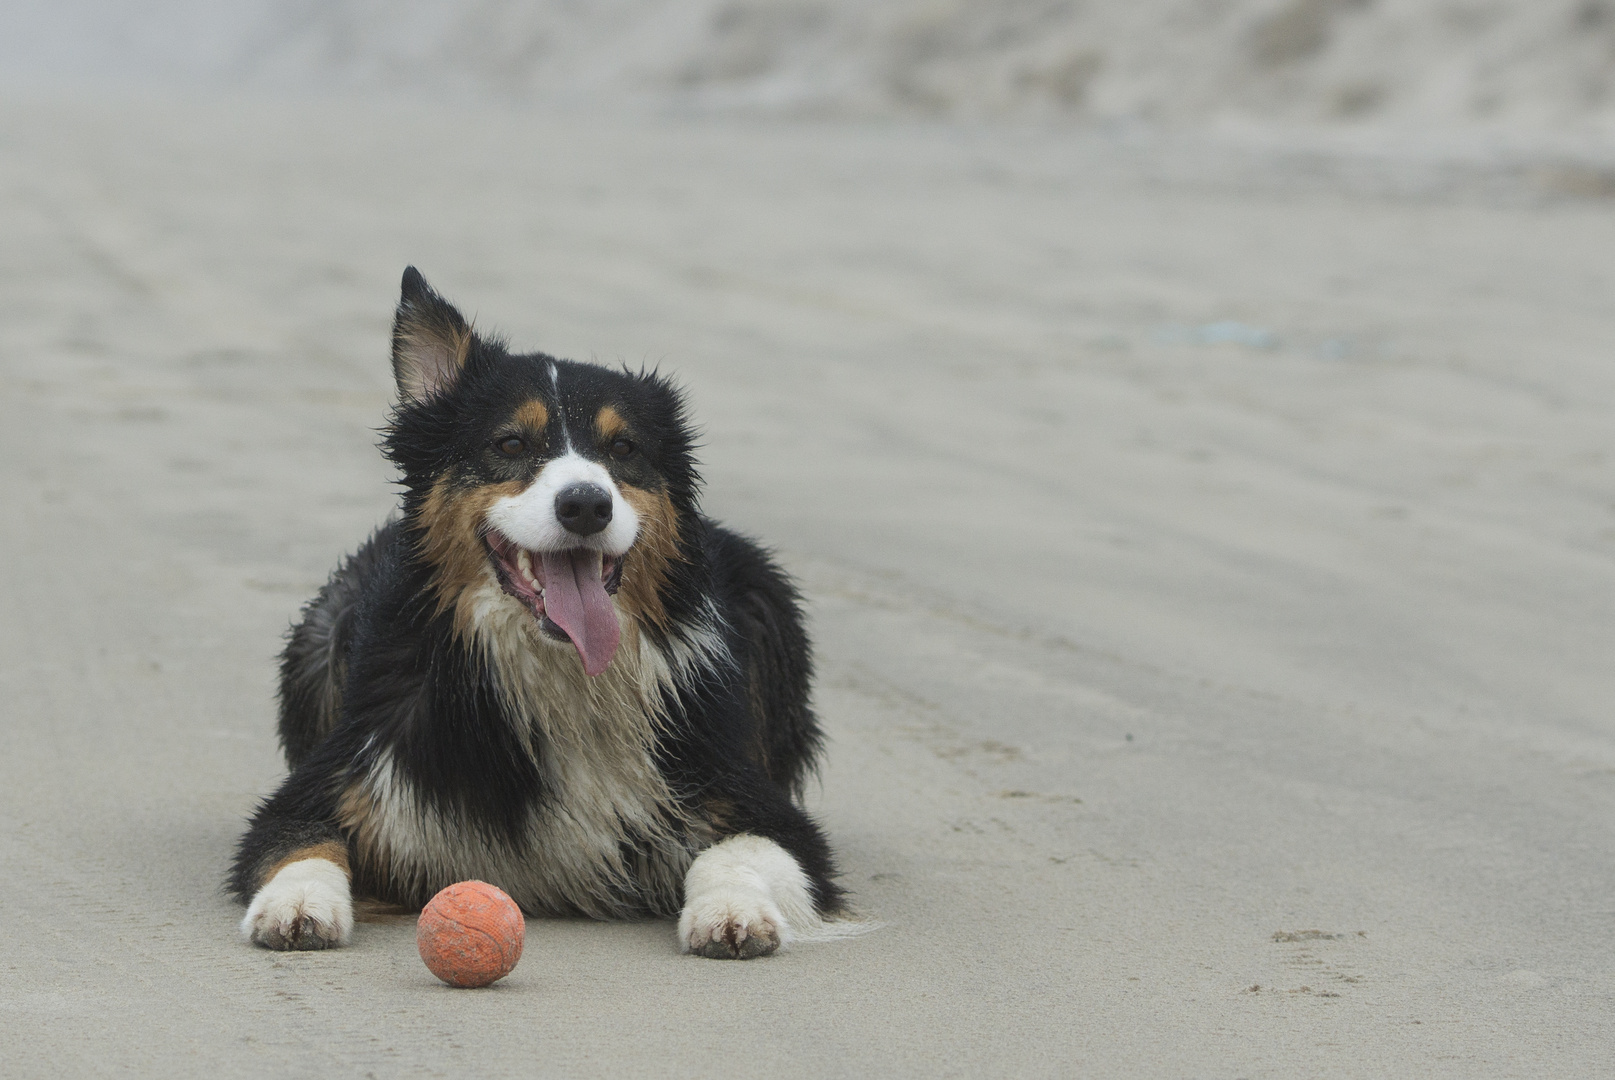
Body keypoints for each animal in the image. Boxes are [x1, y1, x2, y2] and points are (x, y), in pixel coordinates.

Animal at [235, 264, 852, 955]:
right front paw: (296, 906)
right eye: (509, 443)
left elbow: (739, 850)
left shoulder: (752, 798)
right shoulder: (330, 781)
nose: (586, 504)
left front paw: (732, 913)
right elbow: (299, 843)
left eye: (624, 449)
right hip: (320, 634)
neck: (560, 672)